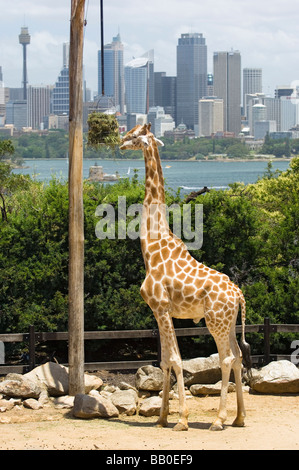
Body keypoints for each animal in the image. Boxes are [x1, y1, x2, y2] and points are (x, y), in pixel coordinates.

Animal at [120, 123, 252, 432]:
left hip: (215, 322)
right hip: (228, 322)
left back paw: (218, 420)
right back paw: (239, 418)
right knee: (238, 357)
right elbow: (165, 361)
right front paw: (162, 418)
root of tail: (238, 293)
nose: (120, 143)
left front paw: (181, 419)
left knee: (227, 358)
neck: (152, 249)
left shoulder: (161, 307)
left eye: (135, 135)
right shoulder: (160, 312)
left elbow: (177, 360)